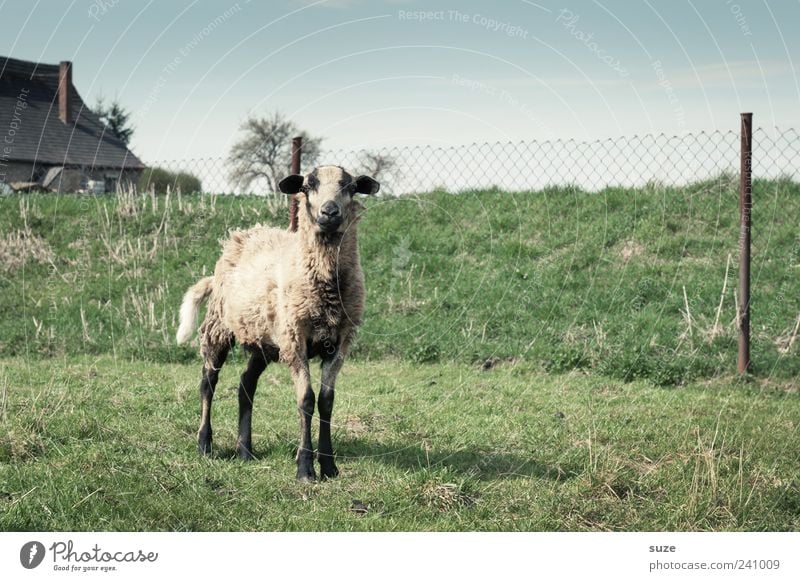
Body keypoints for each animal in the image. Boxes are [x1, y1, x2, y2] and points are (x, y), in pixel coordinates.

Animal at [177, 164, 382, 480]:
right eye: (308, 186)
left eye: (349, 187)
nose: (329, 212)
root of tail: (241, 236)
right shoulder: (296, 339)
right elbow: (306, 400)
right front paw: (305, 468)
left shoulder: (340, 342)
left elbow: (326, 401)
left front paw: (329, 466)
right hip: (219, 327)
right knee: (207, 383)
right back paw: (204, 444)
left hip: (265, 341)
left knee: (245, 384)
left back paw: (245, 451)